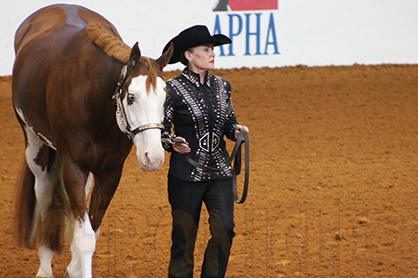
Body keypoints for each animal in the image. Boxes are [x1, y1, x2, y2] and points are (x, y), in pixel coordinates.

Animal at [12, 4, 173, 278]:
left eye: (166, 98)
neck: (92, 99)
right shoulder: (73, 167)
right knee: (44, 194)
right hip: (34, 144)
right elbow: (85, 237)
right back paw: (45, 265)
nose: (153, 157)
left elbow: (91, 231)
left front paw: (74, 268)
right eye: (131, 96)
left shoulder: (110, 172)